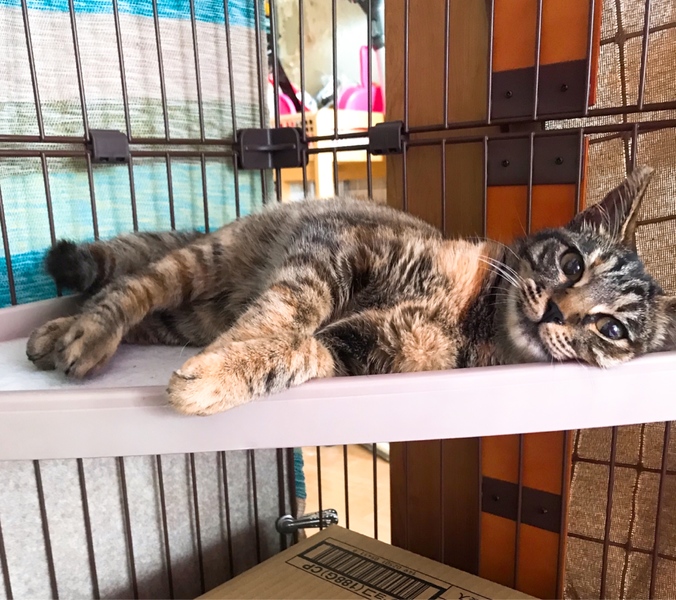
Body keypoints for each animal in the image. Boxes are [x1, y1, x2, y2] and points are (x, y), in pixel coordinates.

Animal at [26, 165, 676, 416]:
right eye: (572, 262)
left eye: (613, 329)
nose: (557, 311)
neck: (471, 315)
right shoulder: (340, 250)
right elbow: (285, 313)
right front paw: (220, 368)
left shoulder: (364, 350)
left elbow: (295, 354)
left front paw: (229, 374)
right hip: (199, 263)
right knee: (127, 288)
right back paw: (80, 332)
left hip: (188, 316)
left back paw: (60, 334)